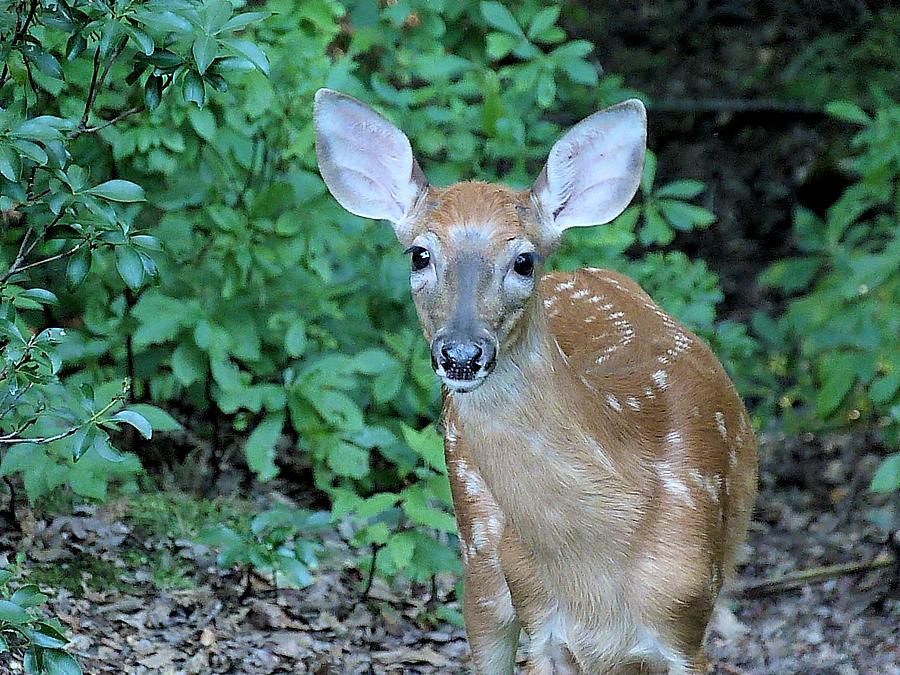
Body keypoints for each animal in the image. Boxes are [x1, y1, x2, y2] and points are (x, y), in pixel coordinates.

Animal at [312, 91, 756, 675]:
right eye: (420, 254)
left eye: (523, 260)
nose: (461, 354)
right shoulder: (542, 622)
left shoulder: (686, 623)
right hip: (481, 550)